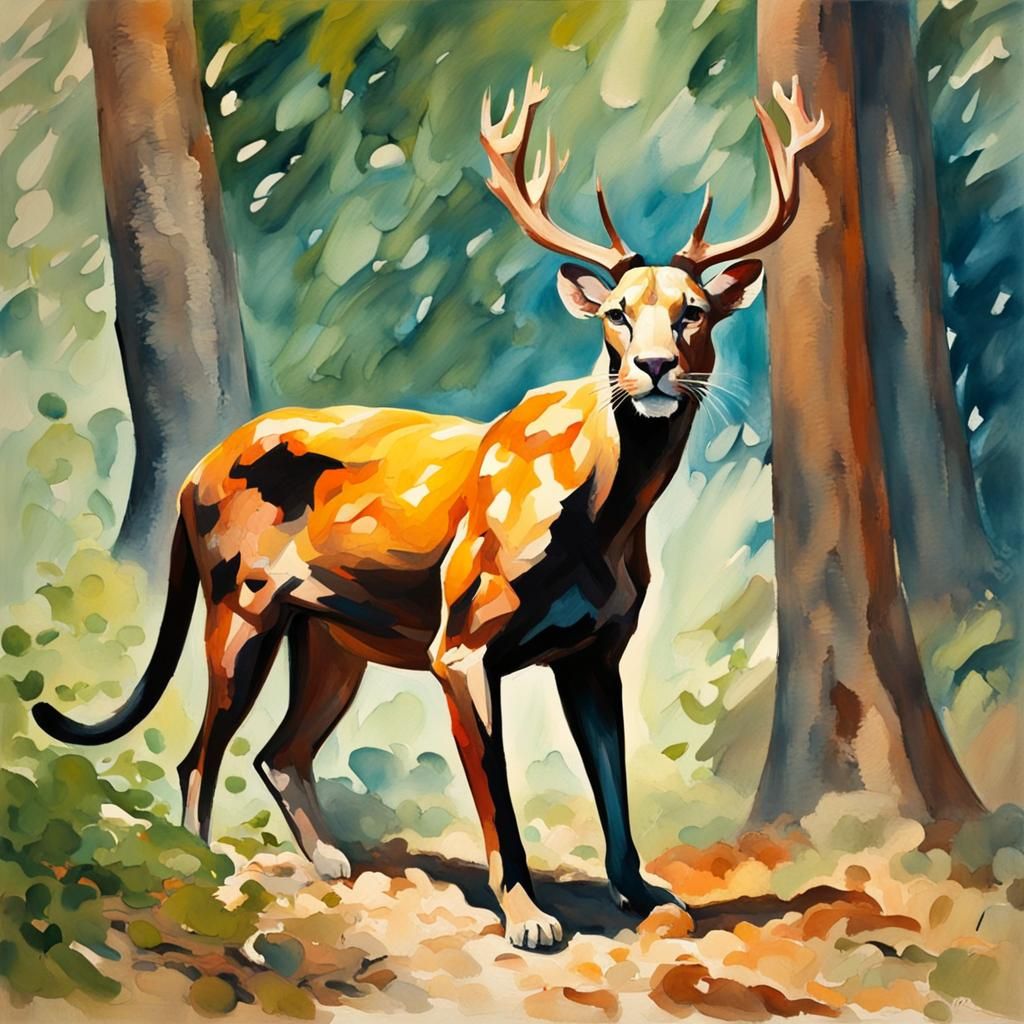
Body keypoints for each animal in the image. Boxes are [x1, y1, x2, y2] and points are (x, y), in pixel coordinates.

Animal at [34, 71, 826, 949]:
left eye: (694, 311)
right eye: (617, 312)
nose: (654, 368)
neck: (611, 507)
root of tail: (196, 469)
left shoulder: (596, 652)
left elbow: (612, 783)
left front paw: (645, 894)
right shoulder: (463, 648)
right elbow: (497, 795)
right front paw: (527, 916)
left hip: (332, 638)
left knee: (280, 751)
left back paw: (331, 861)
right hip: (241, 611)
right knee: (200, 755)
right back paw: (202, 872)